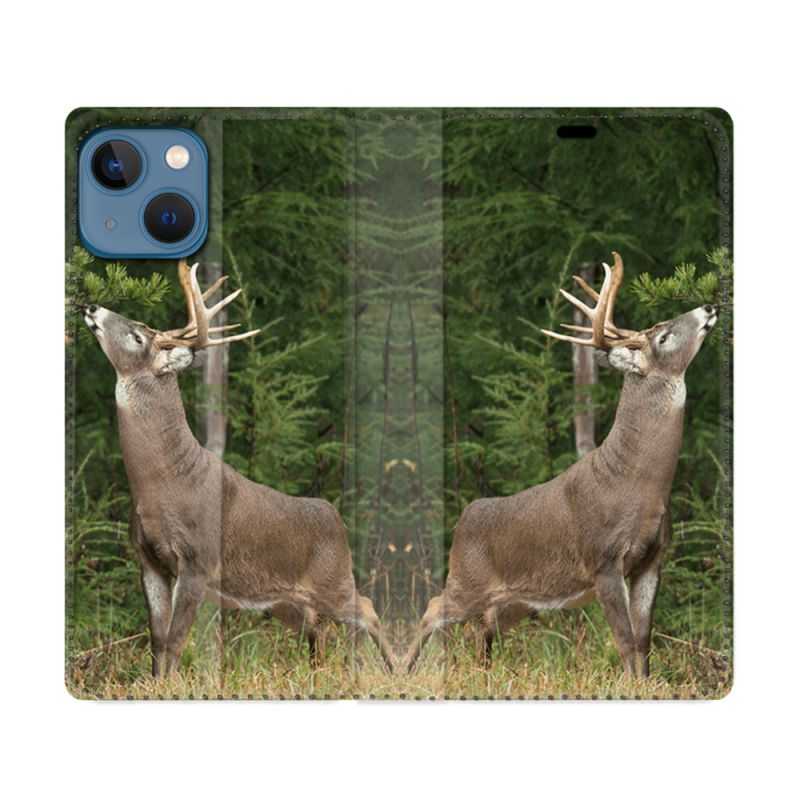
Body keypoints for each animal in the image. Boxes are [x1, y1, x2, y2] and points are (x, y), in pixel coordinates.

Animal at [82, 261, 394, 676]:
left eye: (137, 336)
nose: (91, 307)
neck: (163, 483)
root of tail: (336, 518)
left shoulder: (197, 560)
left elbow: (177, 641)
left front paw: (169, 685)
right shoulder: (147, 559)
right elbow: (157, 641)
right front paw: (153, 683)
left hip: (335, 578)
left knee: (368, 609)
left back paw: (398, 668)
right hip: (286, 601)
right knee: (319, 631)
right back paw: (319, 675)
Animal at [403, 252, 717, 677]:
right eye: (663, 337)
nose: (709, 306)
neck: (639, 484)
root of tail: (464, 519)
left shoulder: (653, 559)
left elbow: (643, 642)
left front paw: (648, 684)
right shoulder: (603, 559)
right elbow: (624, 641)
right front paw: (631, 685)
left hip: (515, 601)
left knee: (482, 630)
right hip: (467, 579)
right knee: (433, 609)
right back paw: (400, 668)